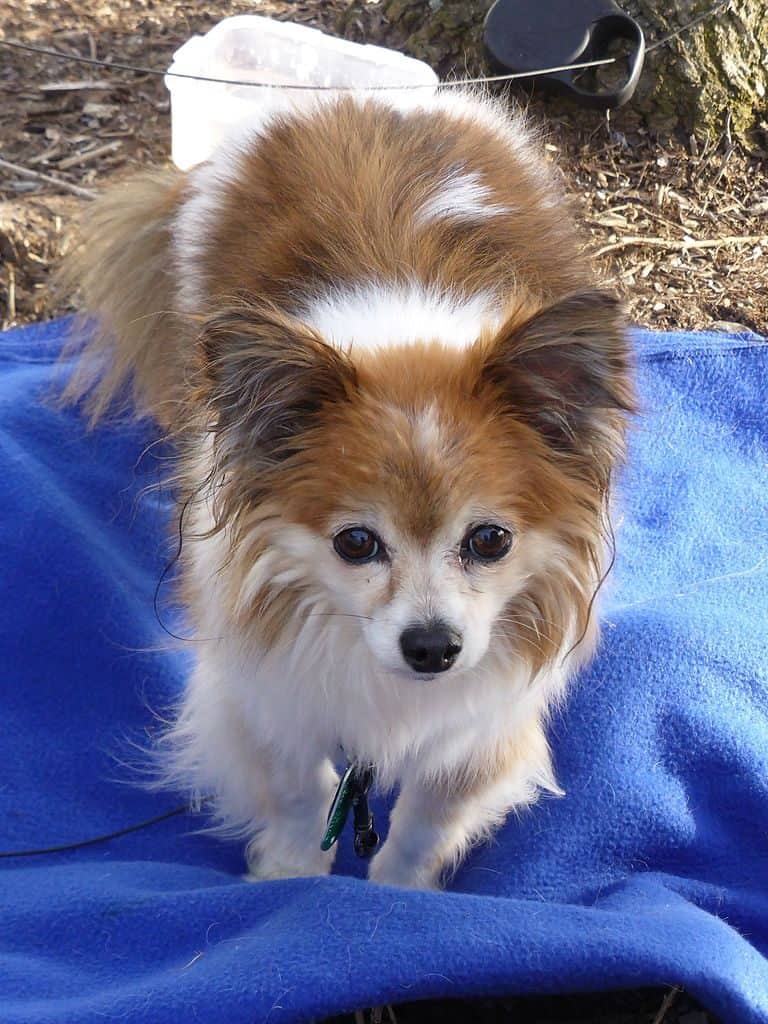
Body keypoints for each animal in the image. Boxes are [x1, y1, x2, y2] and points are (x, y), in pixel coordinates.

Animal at [64, 86, 630, 888]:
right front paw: (291, 875)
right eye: (355, 543)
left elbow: (430, 817)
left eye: (491, 540)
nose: (431, 647)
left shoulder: (481, 719)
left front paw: (400, 893)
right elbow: (299, 790)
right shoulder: (264, 691)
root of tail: (366, 96)